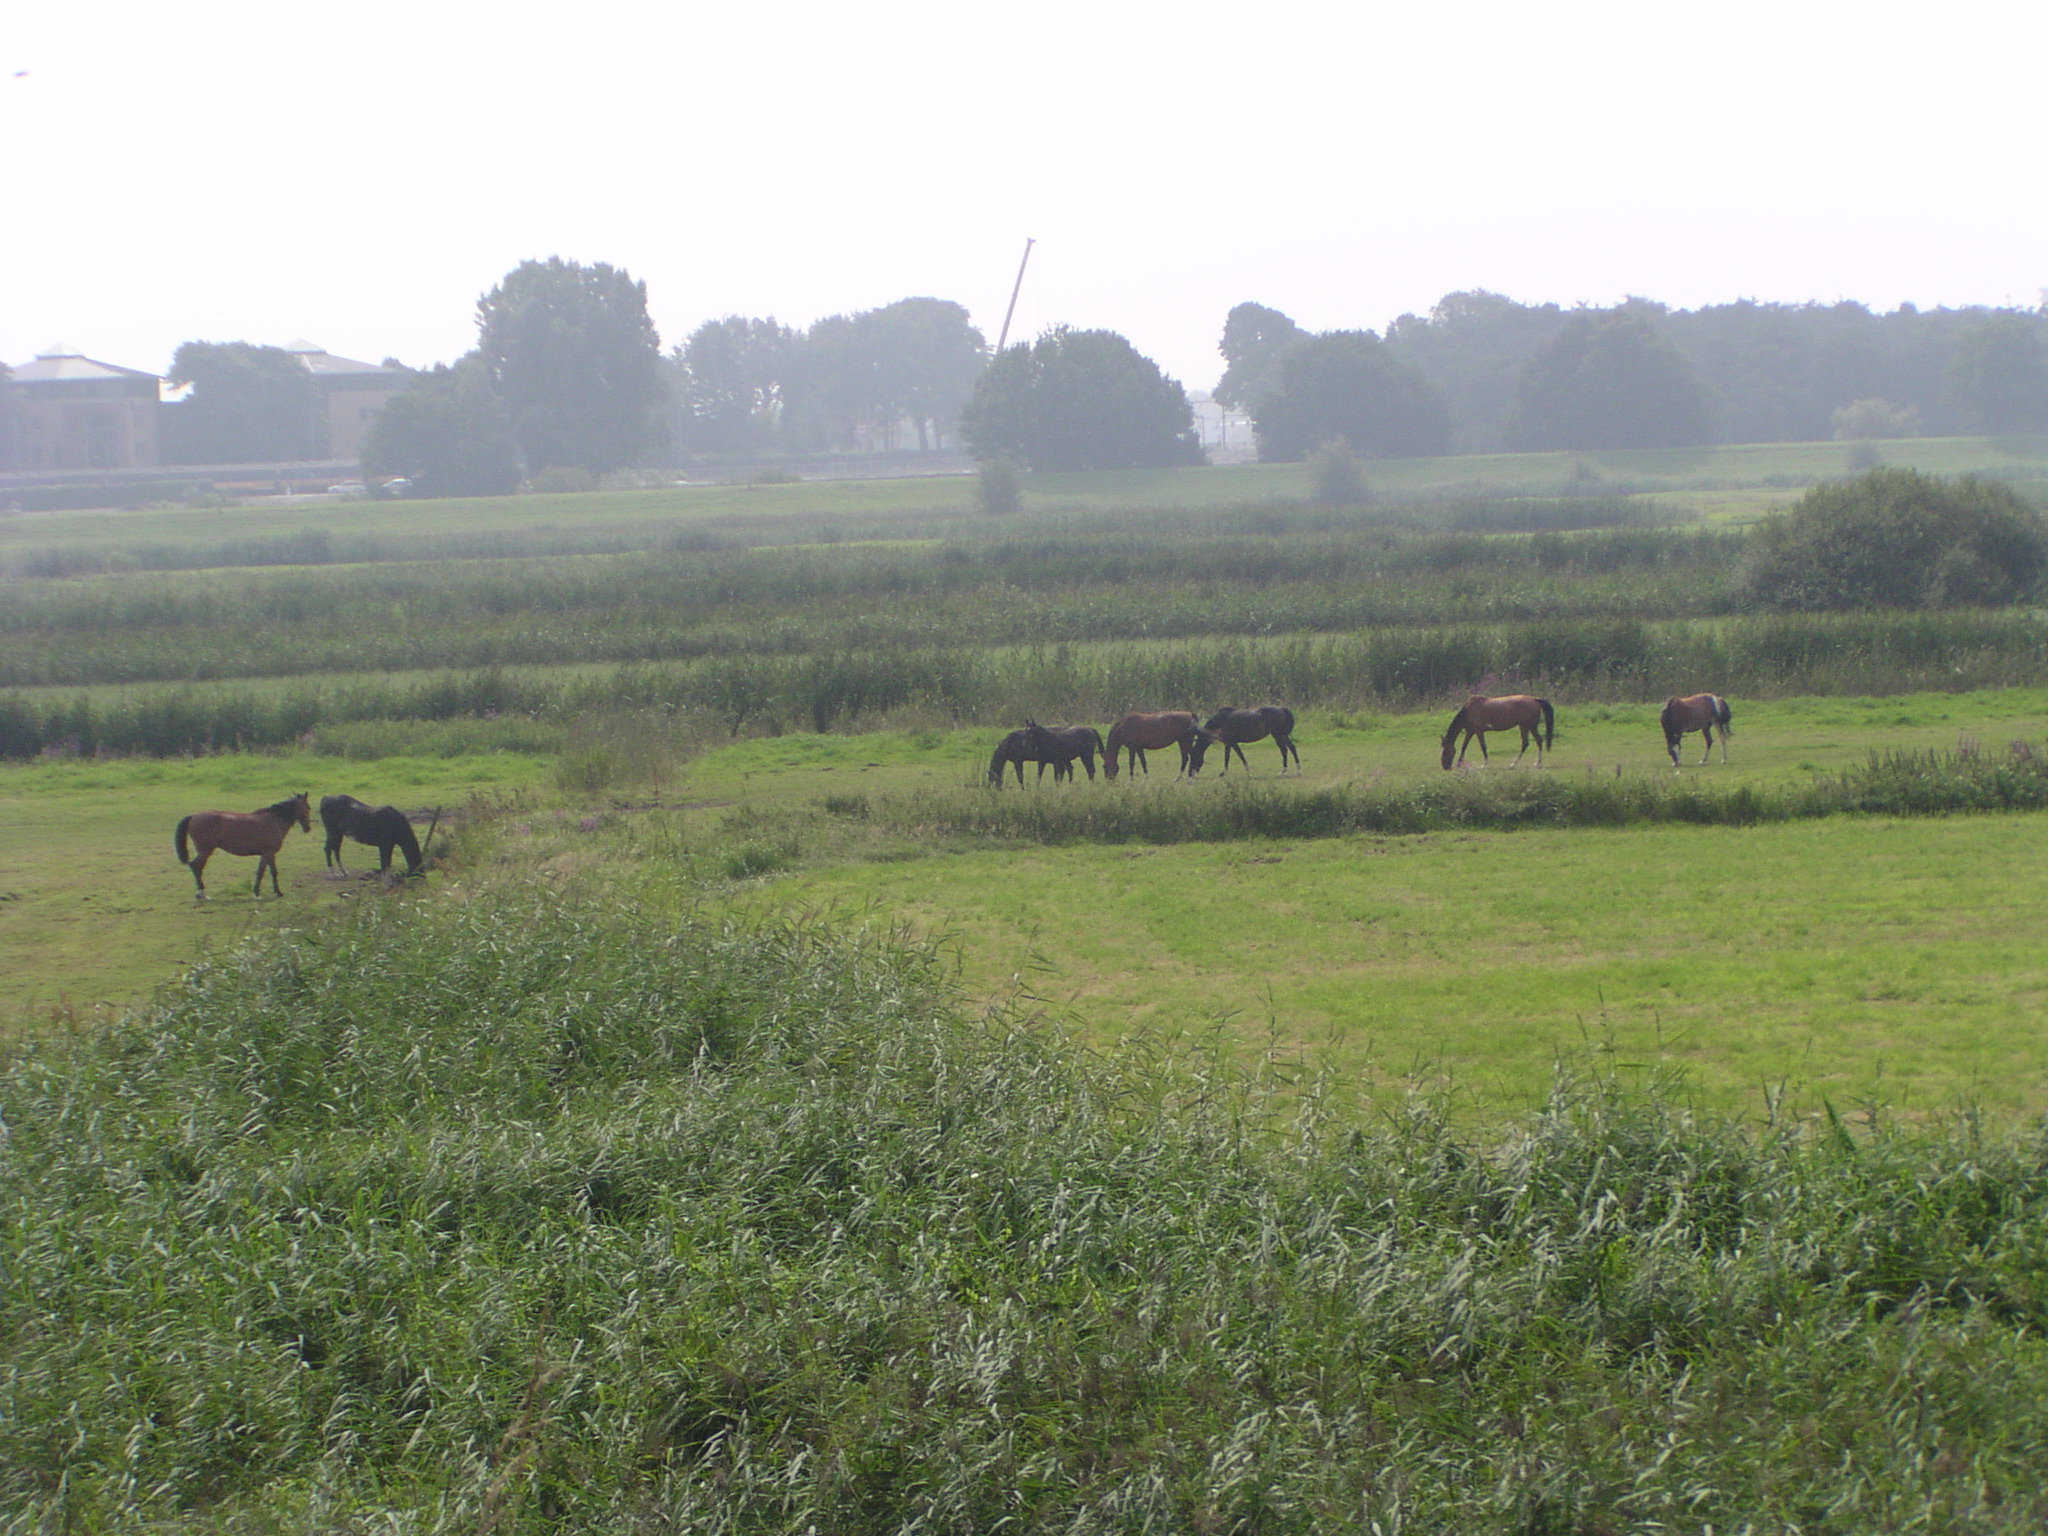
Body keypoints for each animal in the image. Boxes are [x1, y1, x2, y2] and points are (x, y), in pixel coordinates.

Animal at [176, 794, 311, 901]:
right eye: (308, 807)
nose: (307, 828)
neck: (274, 820)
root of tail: (194, 816)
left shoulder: (270, 854)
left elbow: (273, 872)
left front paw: (278, 892)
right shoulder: (267, 853)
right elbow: (260, 872)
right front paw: (257, 893)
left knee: (197, 867)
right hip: (205, 851)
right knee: (195, 866)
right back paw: (202, 893)